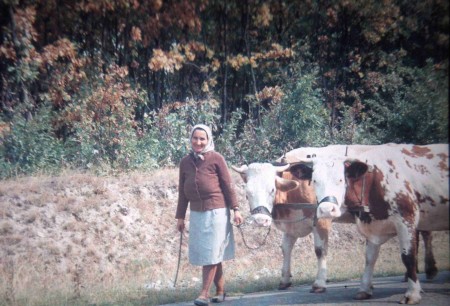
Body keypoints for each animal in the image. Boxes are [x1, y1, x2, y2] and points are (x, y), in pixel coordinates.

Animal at [308, 143, 448, 304]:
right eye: (314, 181)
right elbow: (370, 258)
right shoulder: (372, 226)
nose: (325, 209)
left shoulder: (406, 219)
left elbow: (408, 256)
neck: (374, 179)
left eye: (341, 180)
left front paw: (412, 294)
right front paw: (364, 289)